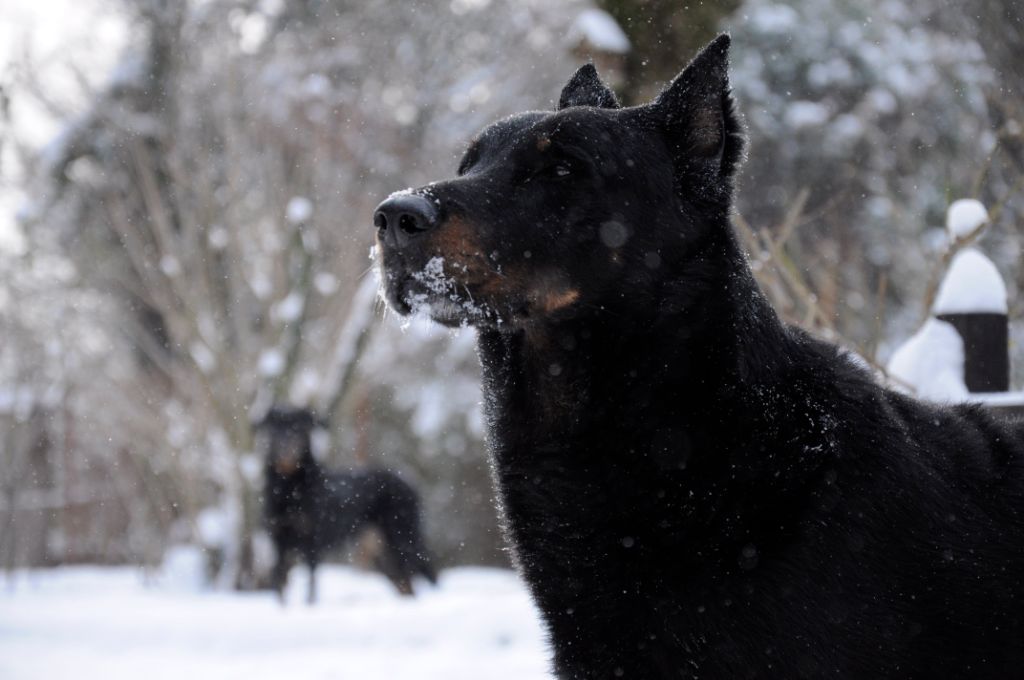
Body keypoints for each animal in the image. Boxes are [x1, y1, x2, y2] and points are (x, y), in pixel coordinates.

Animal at [258, 405, 434, 602]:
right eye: (275, 428)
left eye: (300, 429)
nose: (286, 448)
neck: (289, 490)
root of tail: (409, 484)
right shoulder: (278, 545)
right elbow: (279, 591)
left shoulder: (312, 544)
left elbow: (310, 592)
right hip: (383, 555)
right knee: (406, 588)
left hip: (404, 541)